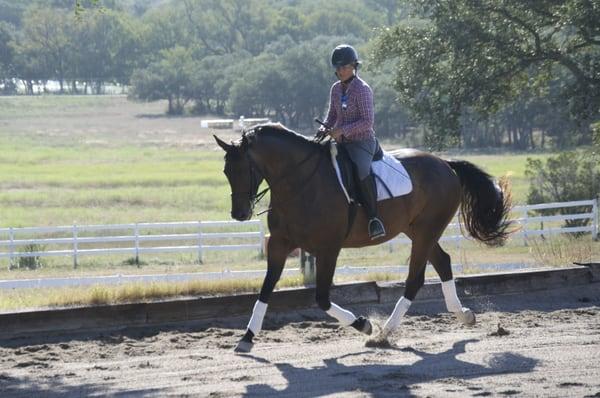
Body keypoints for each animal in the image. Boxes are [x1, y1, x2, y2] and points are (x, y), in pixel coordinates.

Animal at [214, 123, 510, 352]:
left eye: (245, 170)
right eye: (227, 172)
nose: (239, 213)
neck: (299, 183)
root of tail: (445, 164)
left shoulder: (328, 249)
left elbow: (322, 298)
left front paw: (363, 324)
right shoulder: (278, 244)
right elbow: (265, 290)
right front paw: (247, 338)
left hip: (427, 230)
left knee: (415, 279)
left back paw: (383, 333)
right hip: (418, 230)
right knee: (443, 262)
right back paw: (464, 315)